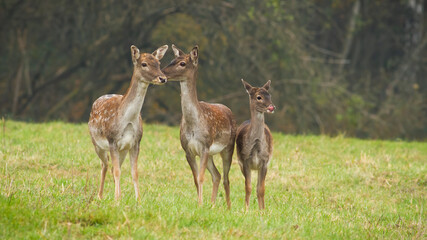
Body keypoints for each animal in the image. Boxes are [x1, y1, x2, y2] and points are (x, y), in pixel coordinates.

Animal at [88, 44, 169, 200]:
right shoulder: (112, 140)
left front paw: (138, 199)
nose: (162, 78)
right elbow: (117, 171)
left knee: (112, 167)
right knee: (105, 165)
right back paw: (100, 196)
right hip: (96, 143)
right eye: (144, 64)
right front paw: (117, 199)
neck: (128, 120)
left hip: (123, 149)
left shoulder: (135, 142)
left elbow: (134, 172)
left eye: (159, 63)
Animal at [161, 45, 236, 208]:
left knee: (226, 177)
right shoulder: (188, 150)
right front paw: (200, 203)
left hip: (228, 147)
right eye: (171, 60)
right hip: (210, 154)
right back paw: (212, 204)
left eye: (182, 63)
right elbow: (196, 179)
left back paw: (228, 207)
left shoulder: (205, 146)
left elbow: (201, 177)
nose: (162, 75)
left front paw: (200, 204)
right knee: (217, 175)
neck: (193, 125)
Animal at [236, 79, 276, 210]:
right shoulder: (244, 161)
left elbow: (261, 189)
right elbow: (248, 187)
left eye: (269, 95)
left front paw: (262, 210)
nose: (271, 107)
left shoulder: (265, 161)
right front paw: (246, 209)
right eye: (259, 97)